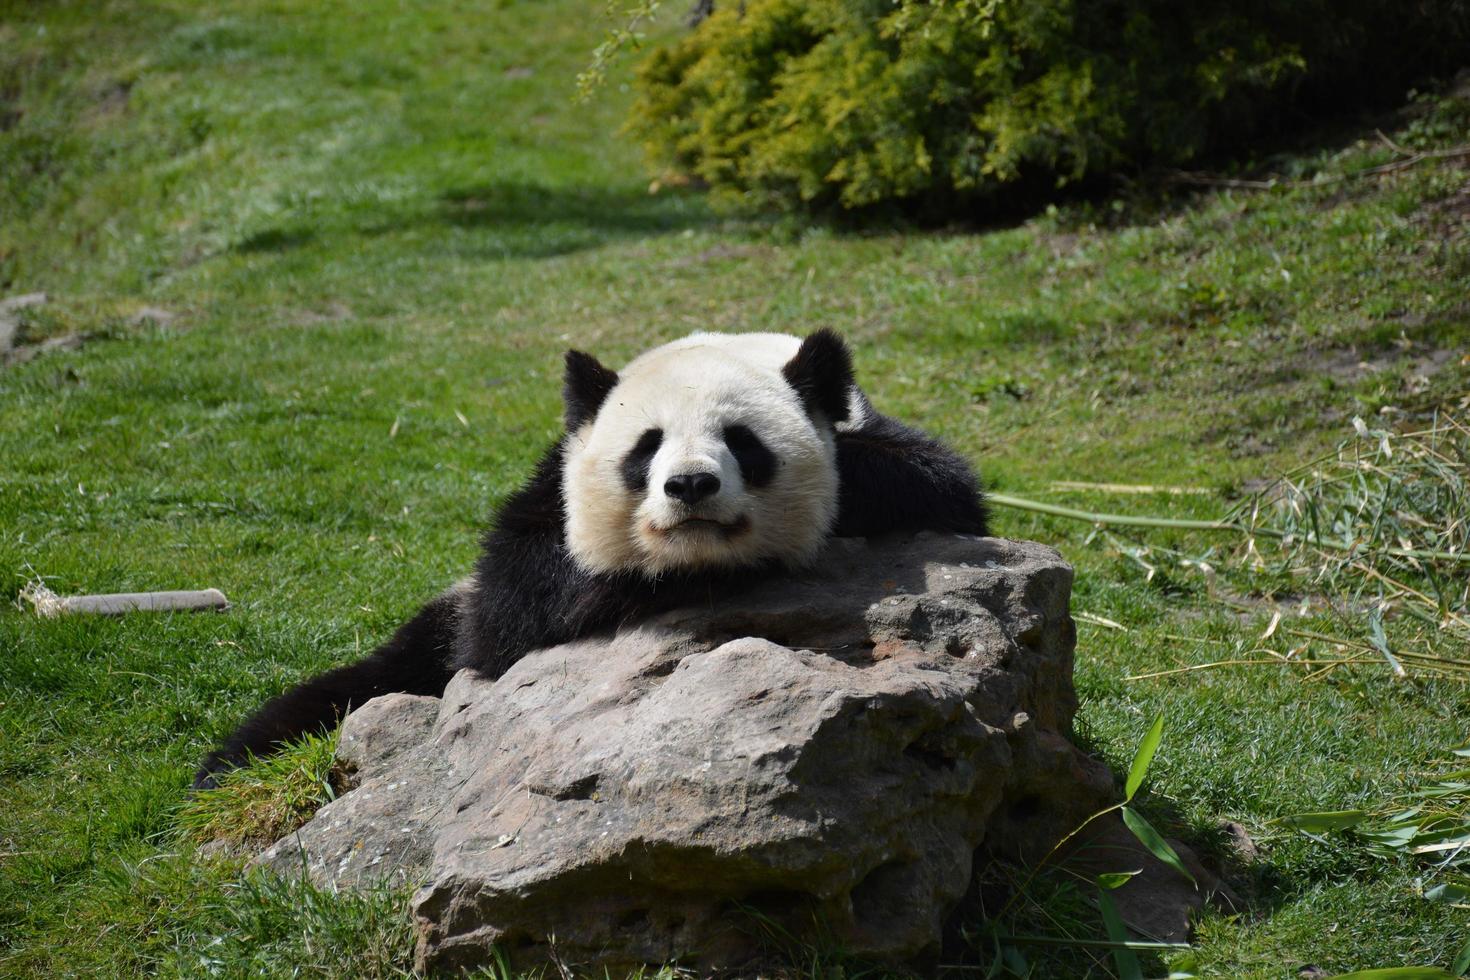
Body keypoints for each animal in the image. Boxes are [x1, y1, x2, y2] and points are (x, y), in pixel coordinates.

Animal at [189, 329, 981, 787]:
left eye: (742, 440)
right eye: (647, 446)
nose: (690, 486)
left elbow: (933, 483)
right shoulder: (547, 488)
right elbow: (512, 601)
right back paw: (228, 771)